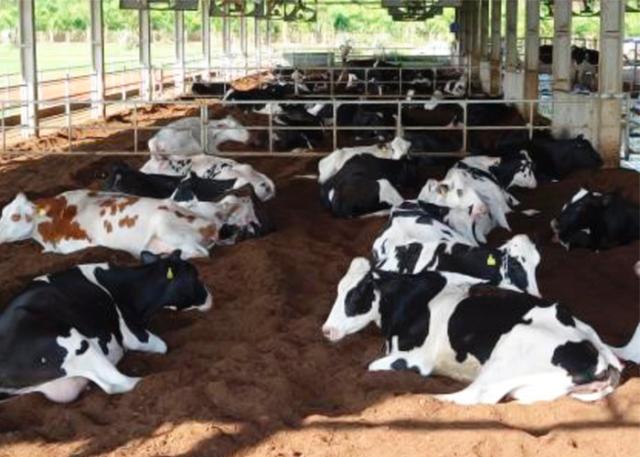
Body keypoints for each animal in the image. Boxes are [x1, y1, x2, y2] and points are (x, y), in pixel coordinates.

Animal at [0, 249, 212, 402]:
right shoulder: (134, 334)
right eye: (195, 276)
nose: (211, 297)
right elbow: (162, 346)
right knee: (116, 383)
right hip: (77, 344)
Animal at [324, 262, 640, 404]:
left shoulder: (414, 359)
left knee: (474, 396)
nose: (326, 330)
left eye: (355, 295)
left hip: (507, 356)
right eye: (338, 290)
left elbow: (371, 366)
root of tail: (600, 358)